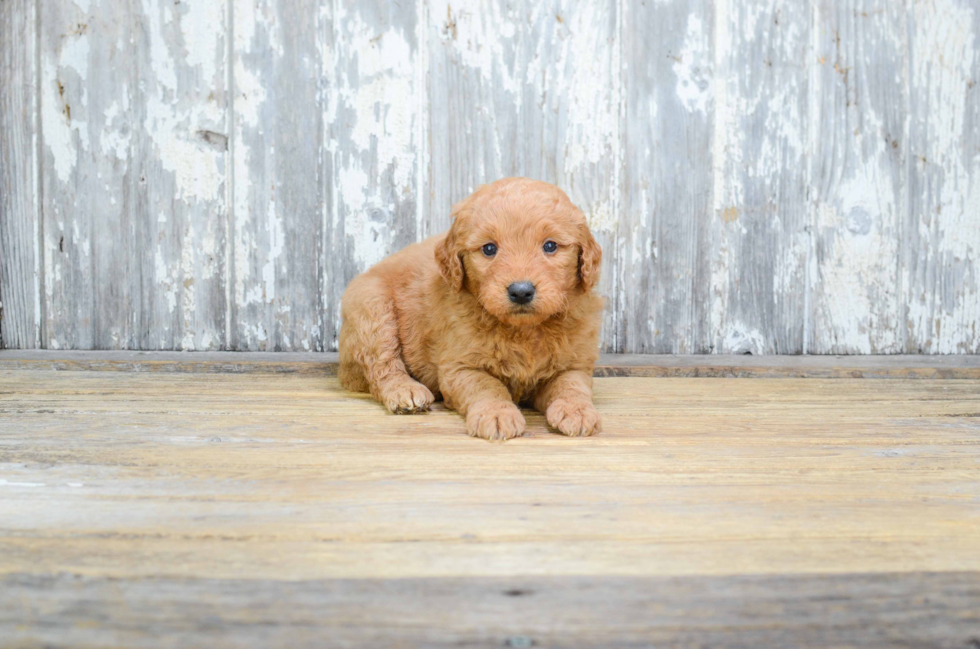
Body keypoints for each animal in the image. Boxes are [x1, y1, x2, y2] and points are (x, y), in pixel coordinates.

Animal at [338, 177, 604, 440]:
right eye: (489, 249)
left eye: (550, 246)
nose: (521, 291)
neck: (523, 330)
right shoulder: (459, 367)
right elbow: (487, 385)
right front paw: (497, 414)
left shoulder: (575, 364)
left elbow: (571, 385)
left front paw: (577, 411)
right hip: (372, 308)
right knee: (381, 365)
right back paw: (405, 391)